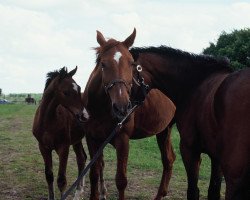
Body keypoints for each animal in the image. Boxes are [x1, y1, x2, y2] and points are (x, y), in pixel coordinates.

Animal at [32, 66, 88, 199]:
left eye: (79, 88)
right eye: (65, 92)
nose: (84, 116)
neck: (48, 121)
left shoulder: (63, 148)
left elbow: (61, 180)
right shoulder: (43, 147)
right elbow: (49, 176)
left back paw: (78, 191)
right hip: (77, 140)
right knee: (82, 158)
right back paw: (79, 190)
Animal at [82, 29, 176, 200]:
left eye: (132, 63)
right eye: (103, 64)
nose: (122, 107)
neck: (100, 109)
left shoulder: (122, 140)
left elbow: (121, 180)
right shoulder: (92, 139)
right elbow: (94, 174)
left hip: (165, 131)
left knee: (168, 160)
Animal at [108, 29, 250, 198]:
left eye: (126, 69)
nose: (120, 108)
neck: (195, 85)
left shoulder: (189, 150)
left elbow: (193, 191)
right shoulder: (215, 159)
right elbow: (212, 191)